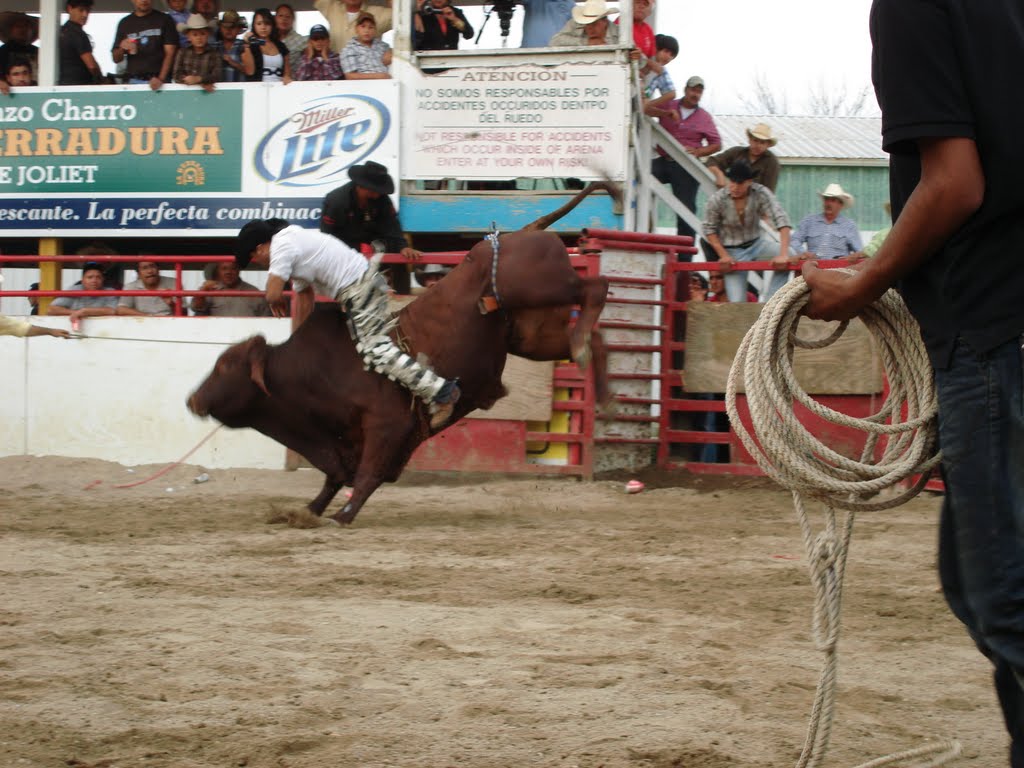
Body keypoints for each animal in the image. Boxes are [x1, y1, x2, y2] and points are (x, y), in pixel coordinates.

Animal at [186, 183, 614, 528]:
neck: (306, 373)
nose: (192, 400)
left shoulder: (387, 427)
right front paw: (308, 511)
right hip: (531, 332)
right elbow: (336, 476)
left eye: (224, 367)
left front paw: (342, 515)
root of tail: (517, 233)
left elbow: (367, 474)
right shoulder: (342, 442)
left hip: (537, 287)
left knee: (597, 285)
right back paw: (593, 364)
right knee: (591, 334)